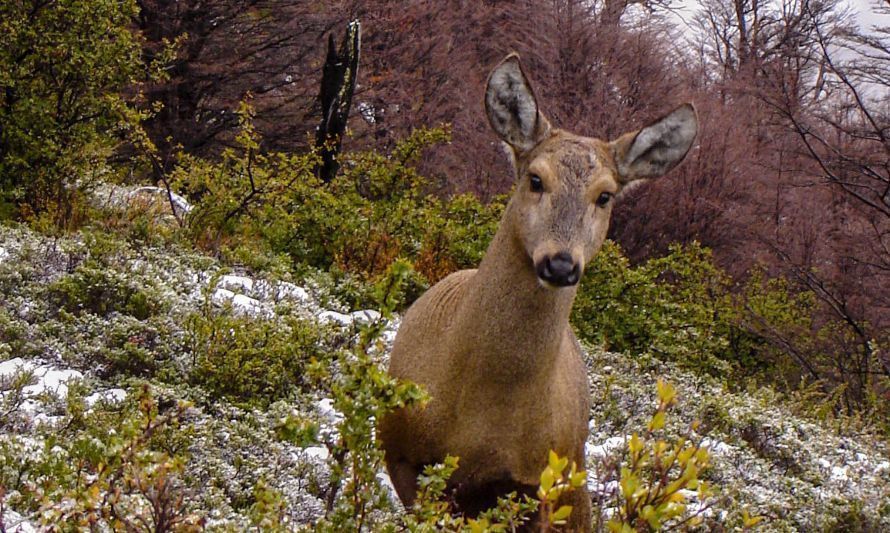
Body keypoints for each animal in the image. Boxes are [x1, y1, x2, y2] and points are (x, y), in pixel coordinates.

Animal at [378, 53, 696, 528]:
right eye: (535, 178)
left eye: (605, 196)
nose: (561, 263)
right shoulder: (400, 452)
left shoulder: (538, 482)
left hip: (573, 476)